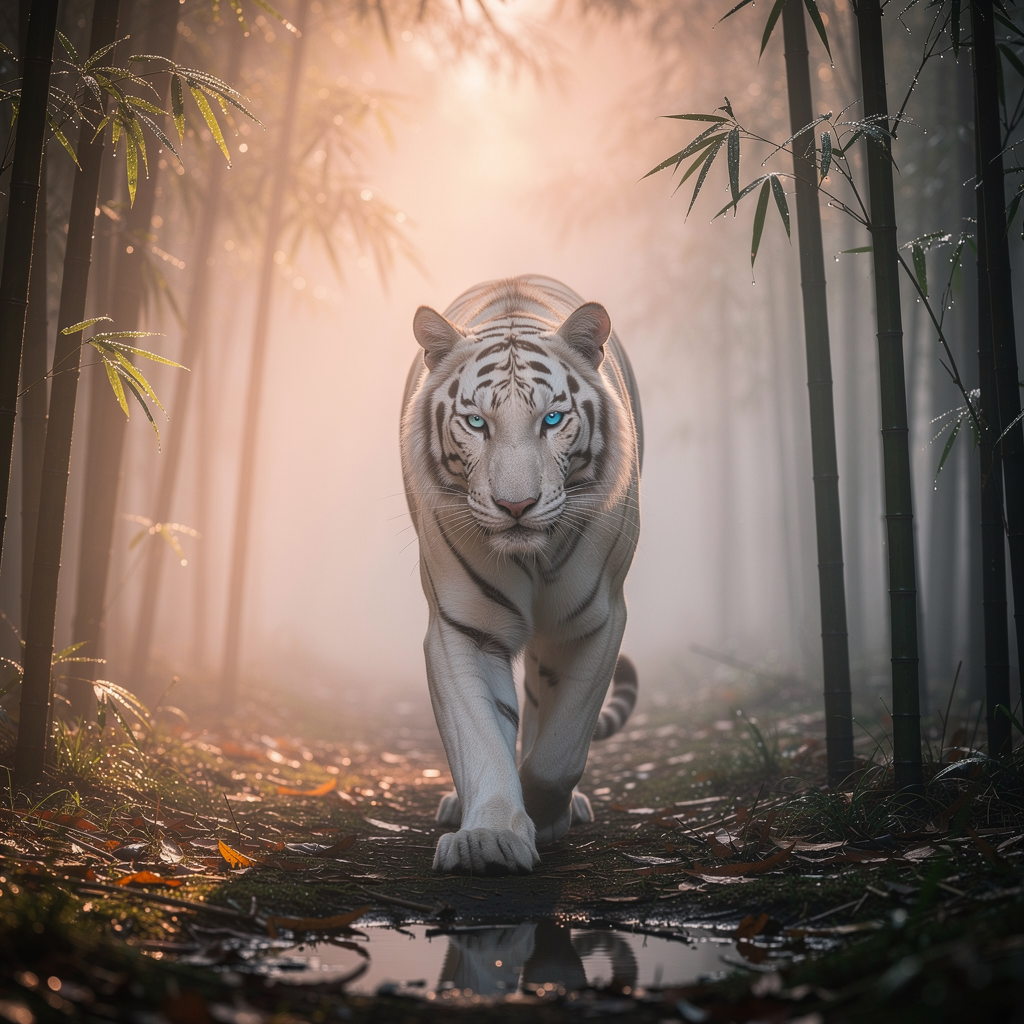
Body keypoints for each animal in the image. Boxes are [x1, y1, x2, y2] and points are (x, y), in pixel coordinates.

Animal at [400, 274, 642, 874]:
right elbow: (482, 737)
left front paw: (544, 811)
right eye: (476, 422)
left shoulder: (596, 622)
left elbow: (559, 751)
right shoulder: (461, 628)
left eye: (551, 420)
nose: (516, 506)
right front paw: (489, 837)